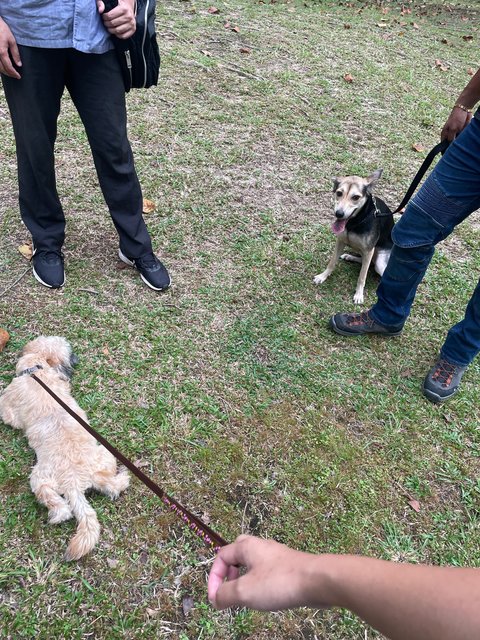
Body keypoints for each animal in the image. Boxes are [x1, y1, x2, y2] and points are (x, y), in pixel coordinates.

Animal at [0, 336, 129, 560]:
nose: (75, 358)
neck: (36, 370)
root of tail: (73, 480)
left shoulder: (7, 409)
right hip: (105, 455)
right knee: (107, 483)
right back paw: (120, 482)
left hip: (39, 477)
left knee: (57, 503)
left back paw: (58, 515)